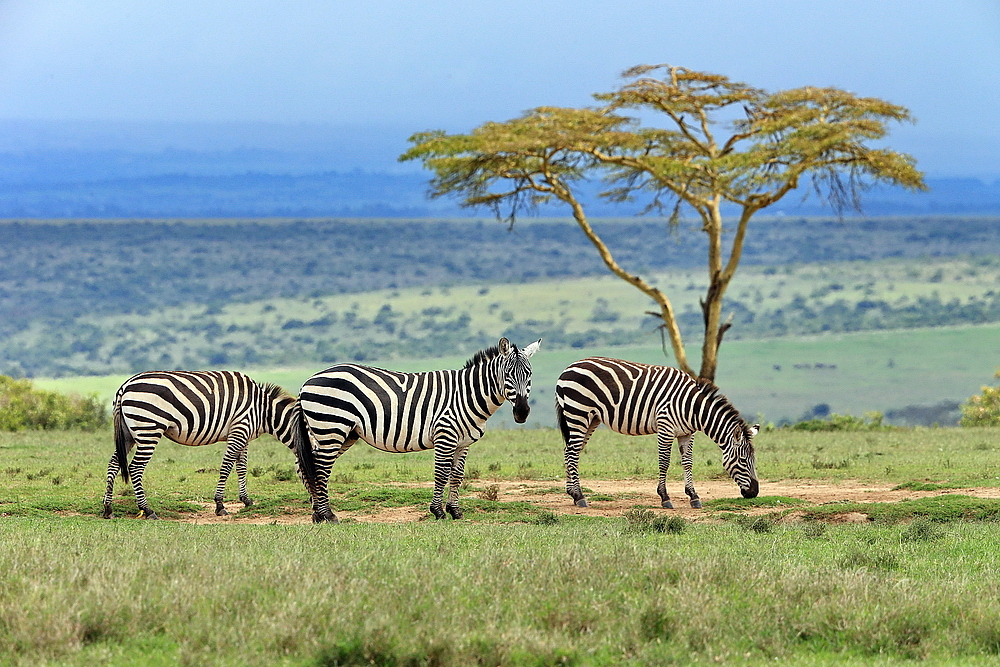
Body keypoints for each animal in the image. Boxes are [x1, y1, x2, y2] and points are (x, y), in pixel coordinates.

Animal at [102, 370, 304, 520]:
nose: (310, 498)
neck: (263, 411)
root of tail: (124, 386)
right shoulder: (240, 428)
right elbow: (227, 466)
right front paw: (220, 505)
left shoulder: (244, 435)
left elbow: (242, 467)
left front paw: (246, 500)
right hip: (149, 428)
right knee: (135, 468)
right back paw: (148, 510)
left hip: (128, 433)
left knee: (113, 464)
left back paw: (108, 508)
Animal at [294, 336, 540, 524]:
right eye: (508, 375)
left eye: (529, 375)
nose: (522, 412)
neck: (467, 395)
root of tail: (308, 380)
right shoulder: (445, 435)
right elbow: (441, 473)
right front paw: (438, 512)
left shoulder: (463, 443)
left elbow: (457, 475)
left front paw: (455, 511)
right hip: (332, 427)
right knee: (320, 469)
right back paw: (328, 515)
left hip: (341, 433)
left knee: (310, 465)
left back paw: (317, 514)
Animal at [556, 360, 756, 512]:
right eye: (743, 461)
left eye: (754, 461)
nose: (754, 492)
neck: (692, 408)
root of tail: (567, 369)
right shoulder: (665, 427)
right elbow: (664, 462)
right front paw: (665, 497)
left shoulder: (687, 433)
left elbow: (687, 462)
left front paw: (693, 496)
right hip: (578, 413)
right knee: (572, 453)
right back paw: (580, 496)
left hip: (591, 418)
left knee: (569, 450)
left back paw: (572, 493)